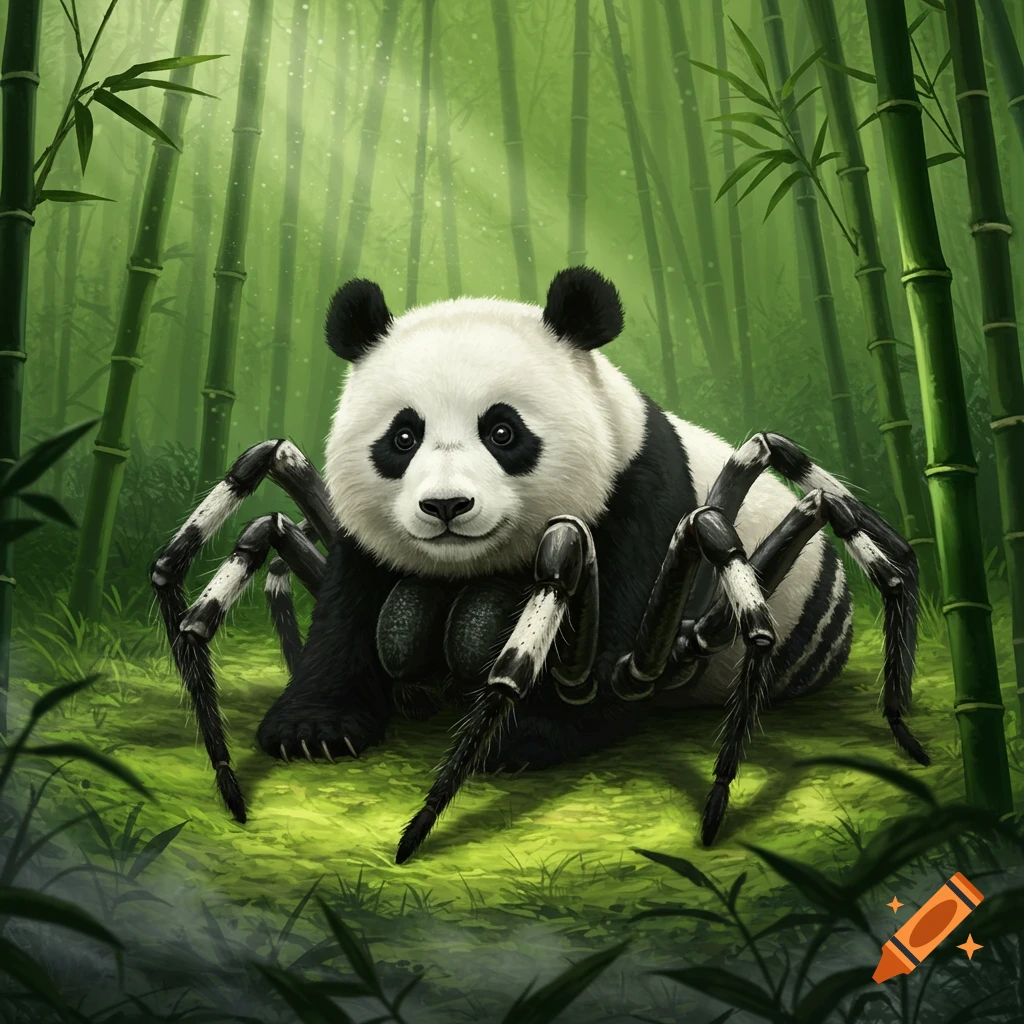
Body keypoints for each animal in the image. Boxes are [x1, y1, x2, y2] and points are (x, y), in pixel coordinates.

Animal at [153, 266, 925, 862]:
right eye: (402, 437)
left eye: (503, 431)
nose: (446, 505)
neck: (466, 576)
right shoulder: (357, 547)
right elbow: (312, 572)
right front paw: (310, 727)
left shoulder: (634, 502)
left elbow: (572, 587)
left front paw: (509, 749)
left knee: (800, 499)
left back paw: (897, 713)